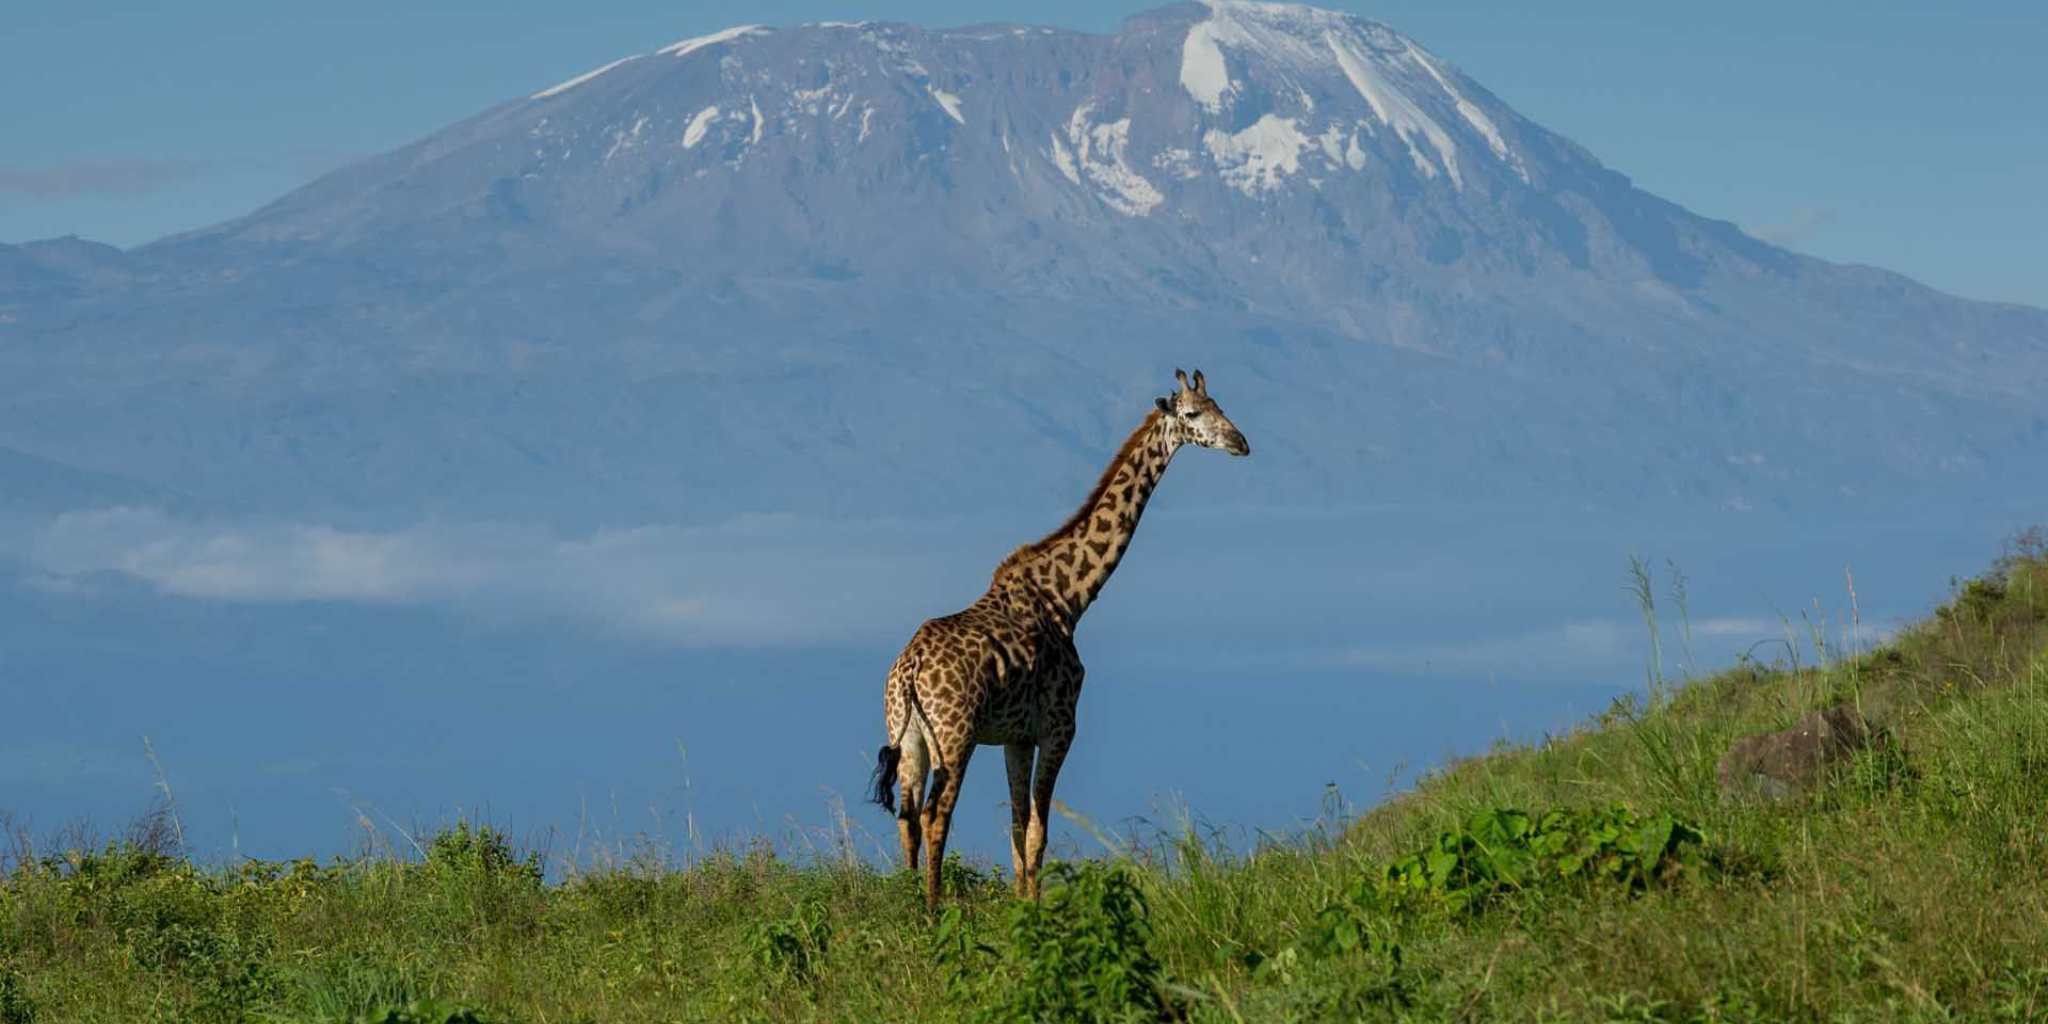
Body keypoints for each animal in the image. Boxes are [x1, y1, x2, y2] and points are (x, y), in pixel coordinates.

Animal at [868, 366, 1245, 905]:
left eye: (1221, 406)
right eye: (1193, 414)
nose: (1241, 443)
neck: (1068, 598)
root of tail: (910, 668)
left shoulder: (1016, 737)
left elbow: (1016, 825)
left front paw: (1021, 902)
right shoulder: (1060, 726)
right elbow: (1038, 829)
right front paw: (1036, 909)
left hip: (909, 734)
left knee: (907, 817)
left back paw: (909, 900)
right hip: (955, 735)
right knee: (935, 814)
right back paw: (934, 908)